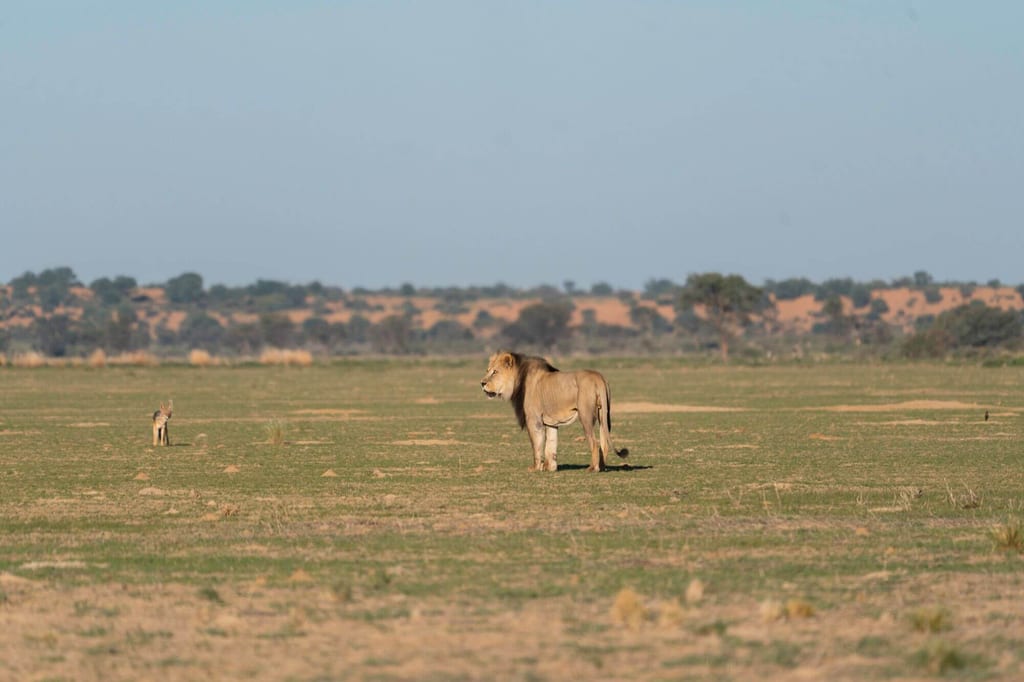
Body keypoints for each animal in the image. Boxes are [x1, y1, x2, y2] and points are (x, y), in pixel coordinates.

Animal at [481, 350, 628, 472]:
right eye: (487, 370)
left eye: (495, 372)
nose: (482, 383)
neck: (518, 380)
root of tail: (599, 377)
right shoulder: (551, 422)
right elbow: (550, 445)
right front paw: (550, 468)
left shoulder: (534, 420)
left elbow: (537, 445)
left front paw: (535, 468)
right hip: (604, 414)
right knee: (604, 442)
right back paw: (602, 467)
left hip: (585, 415)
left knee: (594, 442)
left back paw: (593, 468)